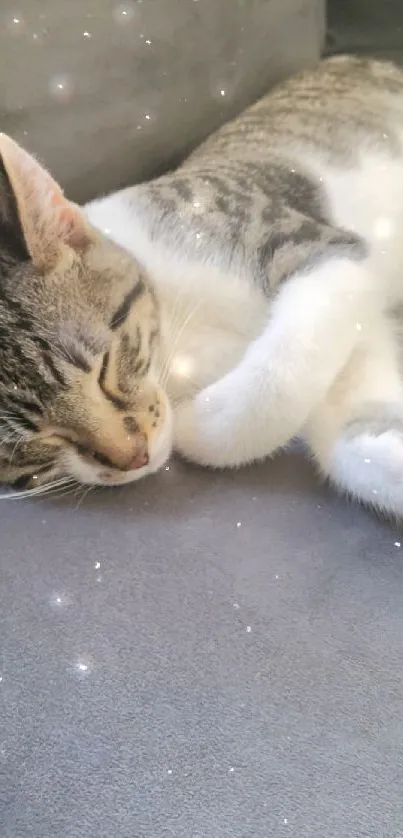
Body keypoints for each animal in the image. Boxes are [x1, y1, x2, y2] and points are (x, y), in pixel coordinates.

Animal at [1, 54, 403, 520]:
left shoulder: (317, 250)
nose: (133, 457)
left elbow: (280, 374)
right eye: (40, 439)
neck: (179, 348)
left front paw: (195, 425)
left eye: (104, 368)